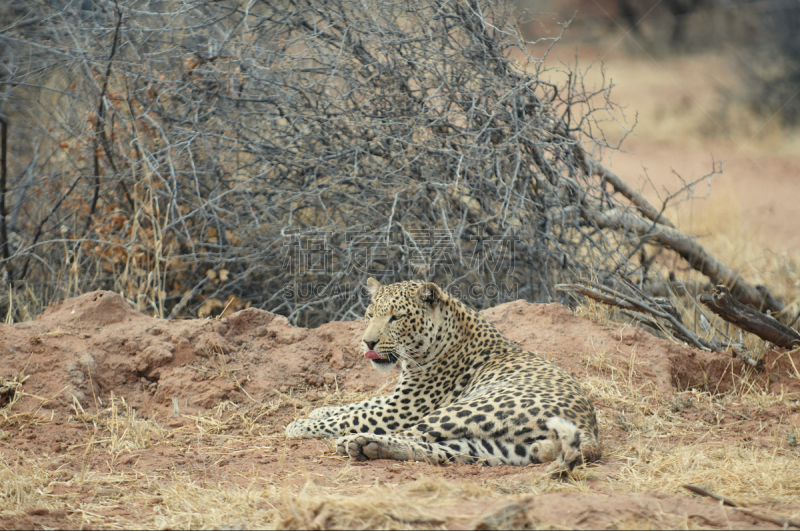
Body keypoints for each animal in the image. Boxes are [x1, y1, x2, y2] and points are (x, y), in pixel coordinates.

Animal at [286, 278, 600, 470]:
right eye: (370, 314)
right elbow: (358, 404)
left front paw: (301, 425)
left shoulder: (402, 409)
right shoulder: (398, 399)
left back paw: (355, 442)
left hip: (468, 407)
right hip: (496, 447)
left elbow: (354, 416)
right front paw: (319, 411)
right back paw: (367, 446)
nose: (368, 343)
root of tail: (590, 431)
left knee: (413, 434)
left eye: (396, 318)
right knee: (438, 449)